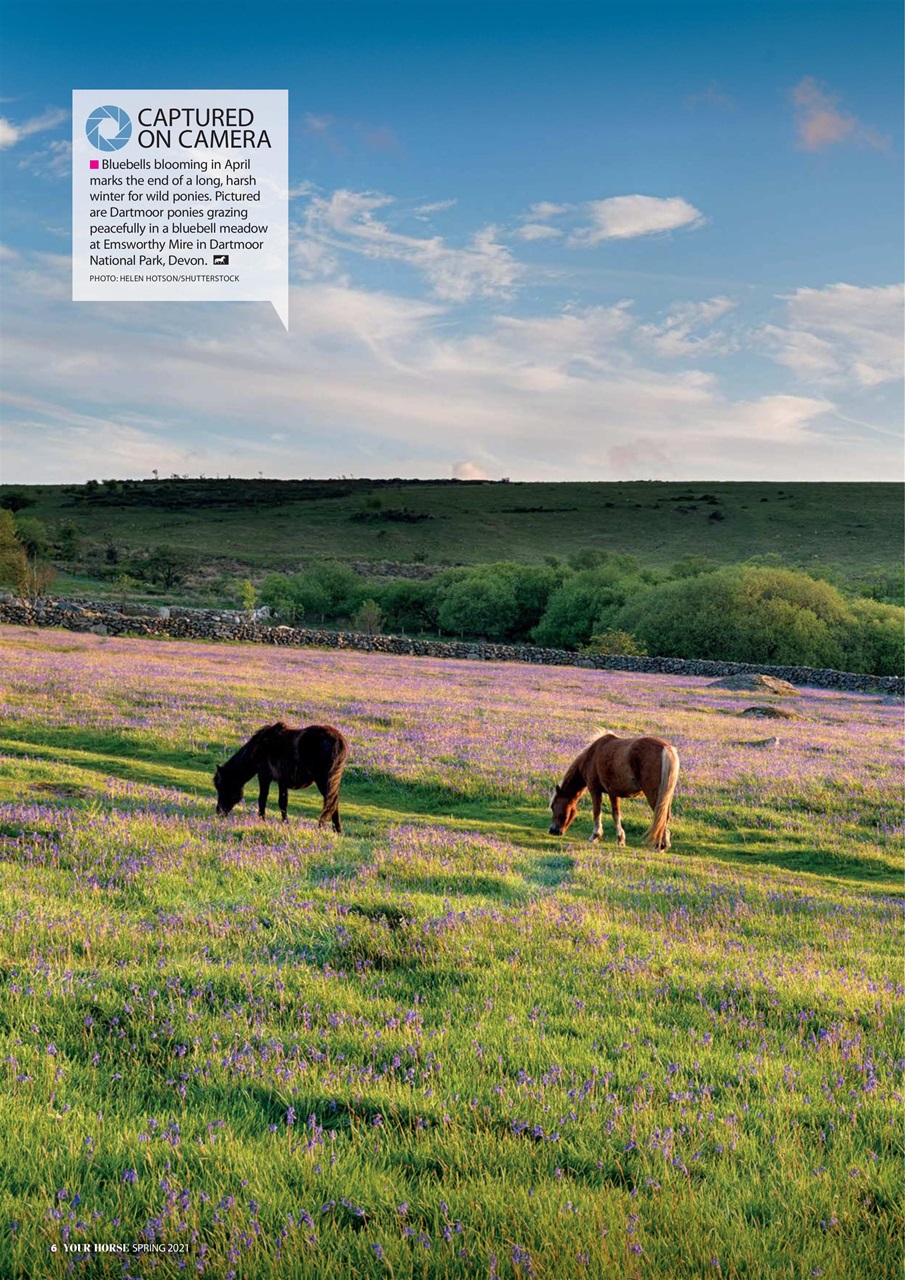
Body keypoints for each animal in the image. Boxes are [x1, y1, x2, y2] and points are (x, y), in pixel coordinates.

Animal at [213, 722, 348, 831]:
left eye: (222, 786)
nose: (219, 811)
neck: (259, 746)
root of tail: (338, 740)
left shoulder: (264, 776)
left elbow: (263, 799)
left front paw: (262, 820)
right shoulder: (282, 781)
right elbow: (283, 803)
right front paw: (285, 823)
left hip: (323, 781)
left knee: (330, 803)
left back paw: (322, 826)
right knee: (333, 803)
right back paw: (337, 830)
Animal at [549, 732, 680, 850]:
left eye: (553, 807)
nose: (552, 831)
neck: (592, 756)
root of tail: (666, 749)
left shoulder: (596, 790)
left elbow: (600, 813)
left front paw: (595, 836)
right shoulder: (613, 793)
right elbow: (615, 815)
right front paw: (620, 839)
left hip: (654, 795)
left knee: (660, 816)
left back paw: (659, 845)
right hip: (666, 796)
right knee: (665, 817)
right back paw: (663, 844)